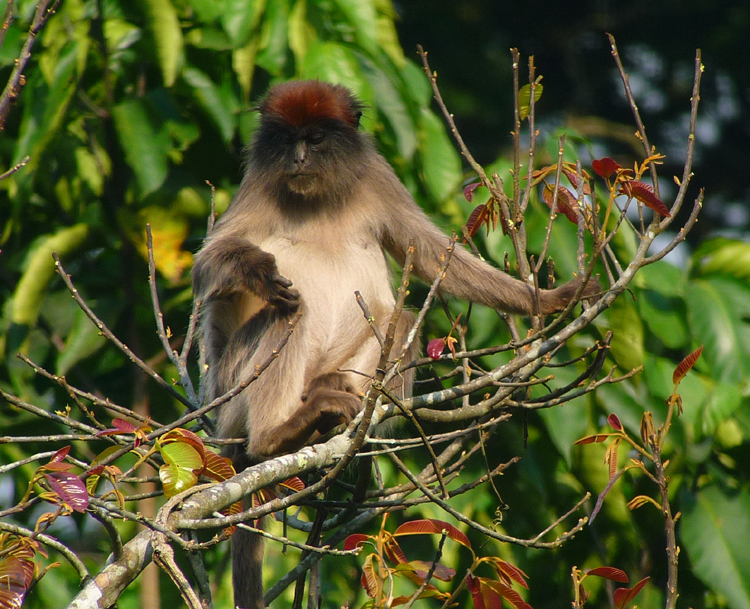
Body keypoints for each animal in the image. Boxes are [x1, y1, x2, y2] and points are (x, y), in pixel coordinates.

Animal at [192, 81, 600, 608]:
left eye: (315, 139)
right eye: (288, 141)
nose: (298, 158)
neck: (317, 197)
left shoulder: (376, 177)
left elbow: (429, 253)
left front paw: (549, 299)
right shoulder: (260, 181)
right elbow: (210, 266)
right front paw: (258, 272)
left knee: (401, 315)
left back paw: (332, 398)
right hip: (234, 387)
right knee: (291, 312)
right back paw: (276, 435)